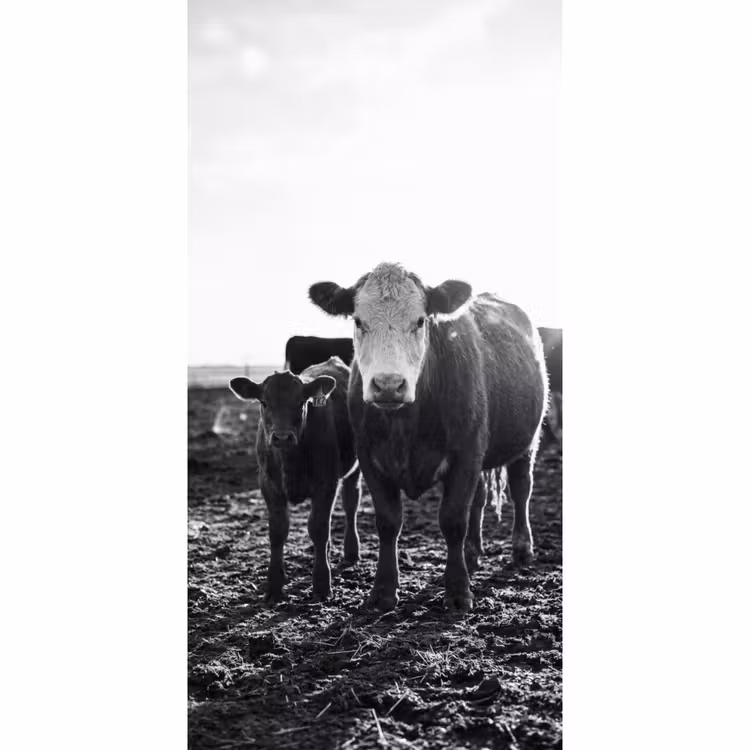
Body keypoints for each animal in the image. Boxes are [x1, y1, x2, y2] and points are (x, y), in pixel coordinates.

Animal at [228, 356, 361, 602]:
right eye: (264, 402)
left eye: (301, 402)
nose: (282, 437)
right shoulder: (268, 484)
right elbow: (278, 531)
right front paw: (274, 584)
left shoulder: (327, 483)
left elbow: (318, 528)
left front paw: (321, 584)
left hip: (355, 468)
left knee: (351, 504)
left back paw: (351, 551)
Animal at [308, 262, 548, 613]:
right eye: (358, 320)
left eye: (420, 320)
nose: (389, 384)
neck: (405, 425)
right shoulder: (371, 459)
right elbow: (388, 522)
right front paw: (383, 591)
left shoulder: (465, 454)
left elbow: (453, 520)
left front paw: (458, 591)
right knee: (479, 499)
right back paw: (473, 553)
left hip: (526, 443)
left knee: (521, 490)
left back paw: (521, 548)